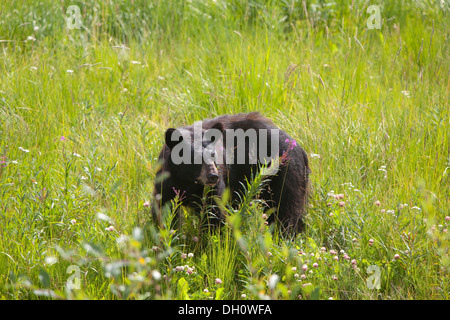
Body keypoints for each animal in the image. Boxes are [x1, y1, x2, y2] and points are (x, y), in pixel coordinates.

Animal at [151, 112, 310, 235]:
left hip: (286, 174)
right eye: (195, 157)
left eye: (213, 154)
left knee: (285, 208)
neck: (188, 180)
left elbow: (214, 211)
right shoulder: (167, 179)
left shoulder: (215, 186)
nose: (213, 176)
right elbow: (163, 208)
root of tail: (300, 149)